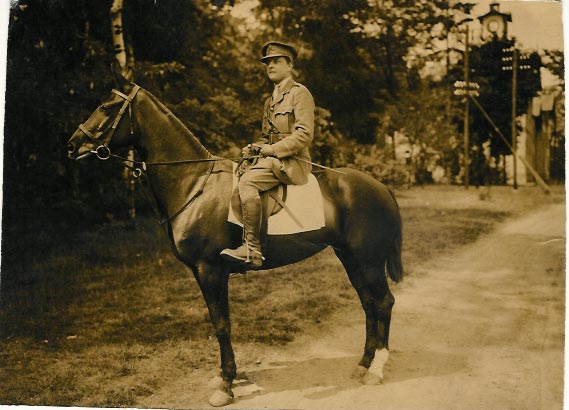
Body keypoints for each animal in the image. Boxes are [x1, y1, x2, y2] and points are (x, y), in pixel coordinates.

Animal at [66, 68, 404, 406]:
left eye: (106, 107)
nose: (72, 145)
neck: (195, 184)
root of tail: (380, 186)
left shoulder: (210, 270)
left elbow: (222, 325)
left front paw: (225, 384)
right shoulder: (202, 272)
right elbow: (219, 323)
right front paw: (224, 377)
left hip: (369, 261)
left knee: (383, 302)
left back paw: (376, 369)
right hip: (350, 258)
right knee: (368, 303)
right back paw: (363, 363)